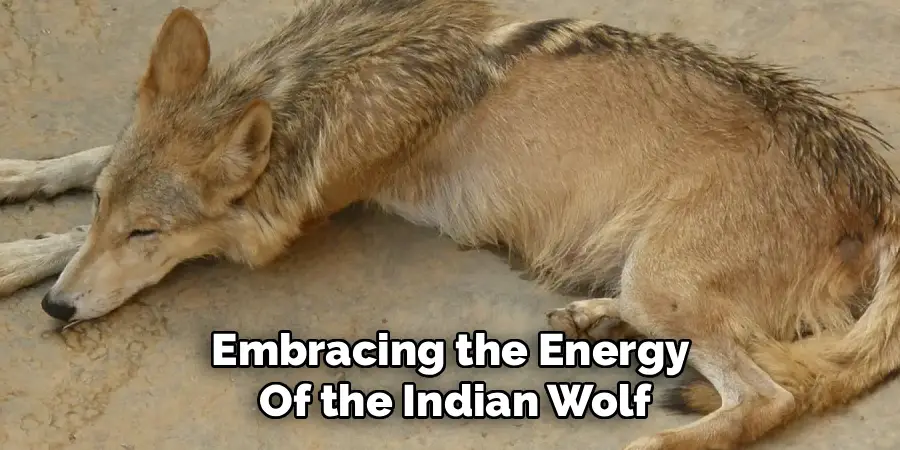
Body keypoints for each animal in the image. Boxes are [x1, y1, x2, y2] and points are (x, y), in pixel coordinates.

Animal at [1, 0, 899, 448]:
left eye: (145, 235)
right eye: (105, 213)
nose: (56, 310)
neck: (315, 80)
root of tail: (876, 180)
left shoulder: (309, 209)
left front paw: (21, 258)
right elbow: (82, 159)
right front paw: (22, 184)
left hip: (662, 282)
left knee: (769, 397)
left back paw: (648, 443)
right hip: (654, 281)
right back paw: (590, 317)